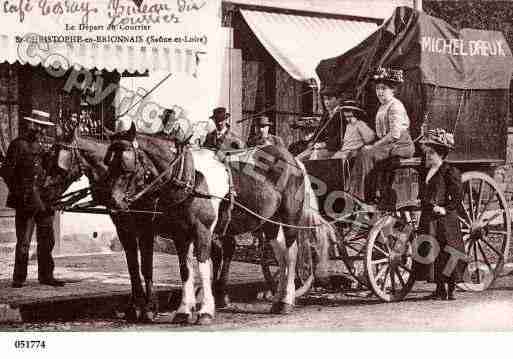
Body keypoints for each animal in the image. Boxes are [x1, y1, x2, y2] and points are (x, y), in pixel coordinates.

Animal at [103, 124, 328, 326]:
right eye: (107, 162)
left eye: (126, 164)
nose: (113, 202)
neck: (189, 176)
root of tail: (293, 160)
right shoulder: (180, 234)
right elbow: (185, 269)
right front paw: (183, 311)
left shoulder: (202, 230)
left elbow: (203, 267)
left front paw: (205, 311)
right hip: (268, 222)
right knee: (281, 257)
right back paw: (278, 299)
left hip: (289, 217)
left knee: (291, 254)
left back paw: (286, 301)